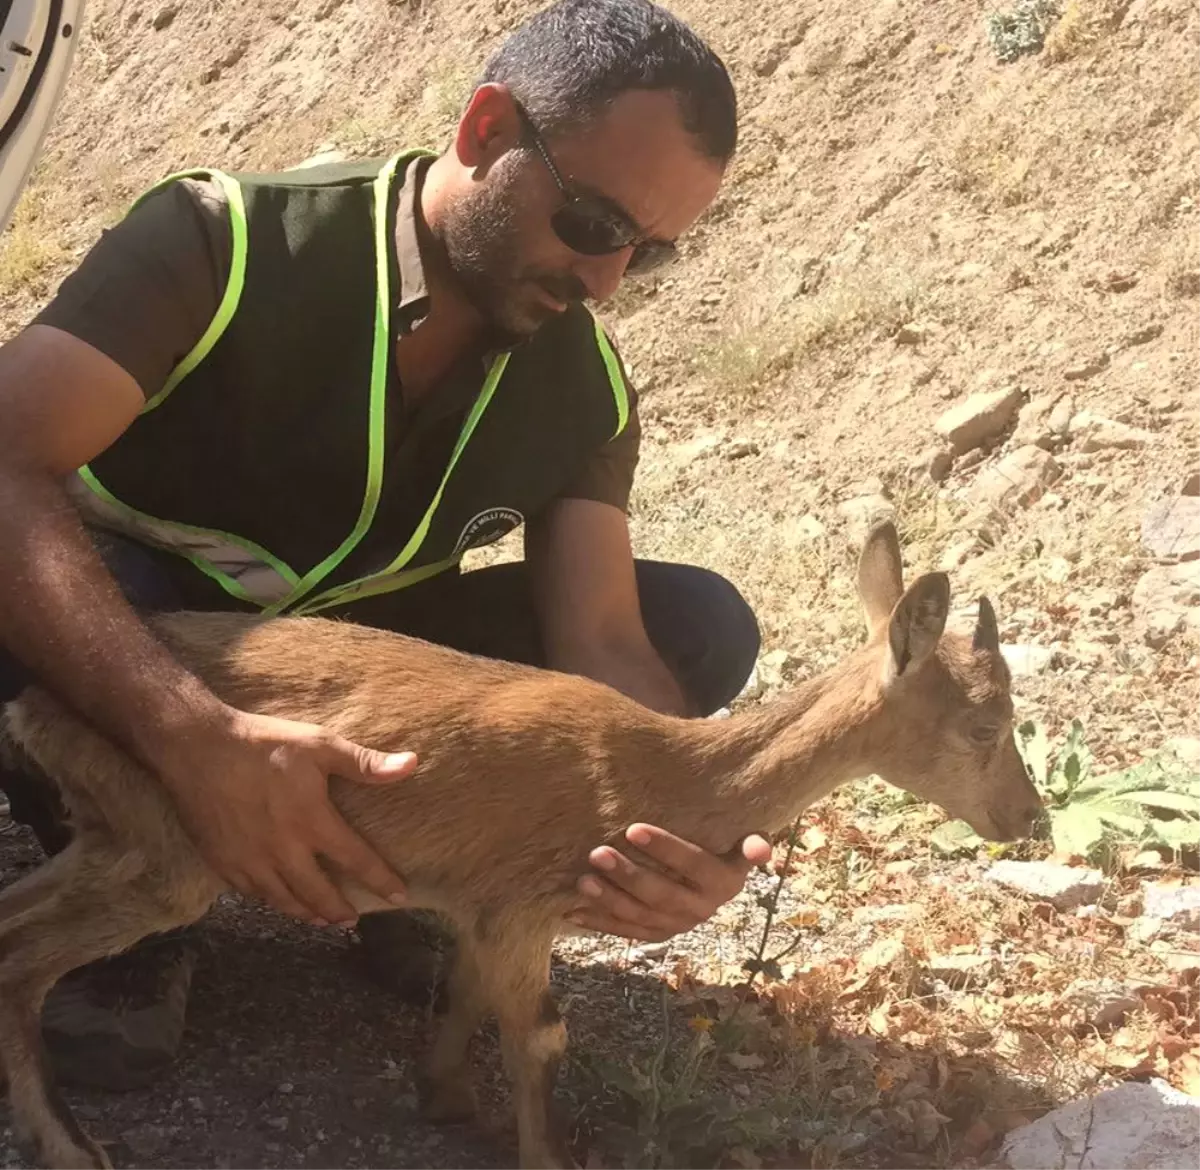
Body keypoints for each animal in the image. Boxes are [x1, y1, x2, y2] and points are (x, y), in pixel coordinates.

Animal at [0, 523, 1041, 1170]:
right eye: (988, 724)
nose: (1026, 817)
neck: (657, 778)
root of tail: (35, 705)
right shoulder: (526, 897)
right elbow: (542, 1034)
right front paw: (543, 1149)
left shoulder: (478, 899)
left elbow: (467, 993)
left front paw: (444, 1097)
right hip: (167, 844)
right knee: (21, 955)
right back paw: (72, 1145)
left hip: (116, 831)